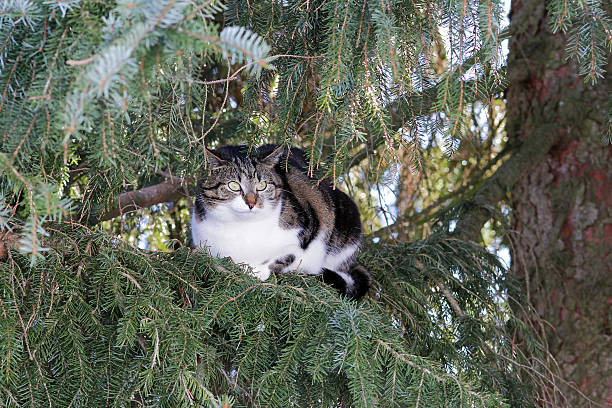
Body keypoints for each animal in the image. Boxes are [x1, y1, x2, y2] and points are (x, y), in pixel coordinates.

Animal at [189, 145, 370, 298]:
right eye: (233, 185)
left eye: (262, 185)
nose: (251, 203)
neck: (242, 227)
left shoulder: (308, 229)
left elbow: (287, 254)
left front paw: (257, 270)